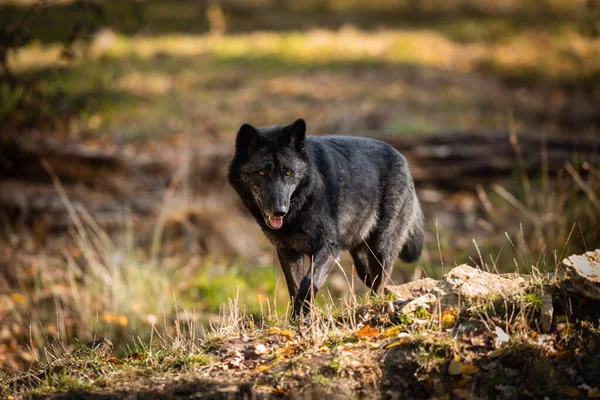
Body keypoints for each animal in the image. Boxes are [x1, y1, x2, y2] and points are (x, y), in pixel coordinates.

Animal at [227, 119, 424, 316]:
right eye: (261, 173)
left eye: (288, 172)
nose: (279, 211)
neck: (303, 203)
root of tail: (403, 160)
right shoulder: (288, 251)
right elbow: (294, 287)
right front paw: (297, 319)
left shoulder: (328, 248)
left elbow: (308, 283)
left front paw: (305, 315)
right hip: (360, 255)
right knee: (372, 278)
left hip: (380, 248)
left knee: (379, 282)